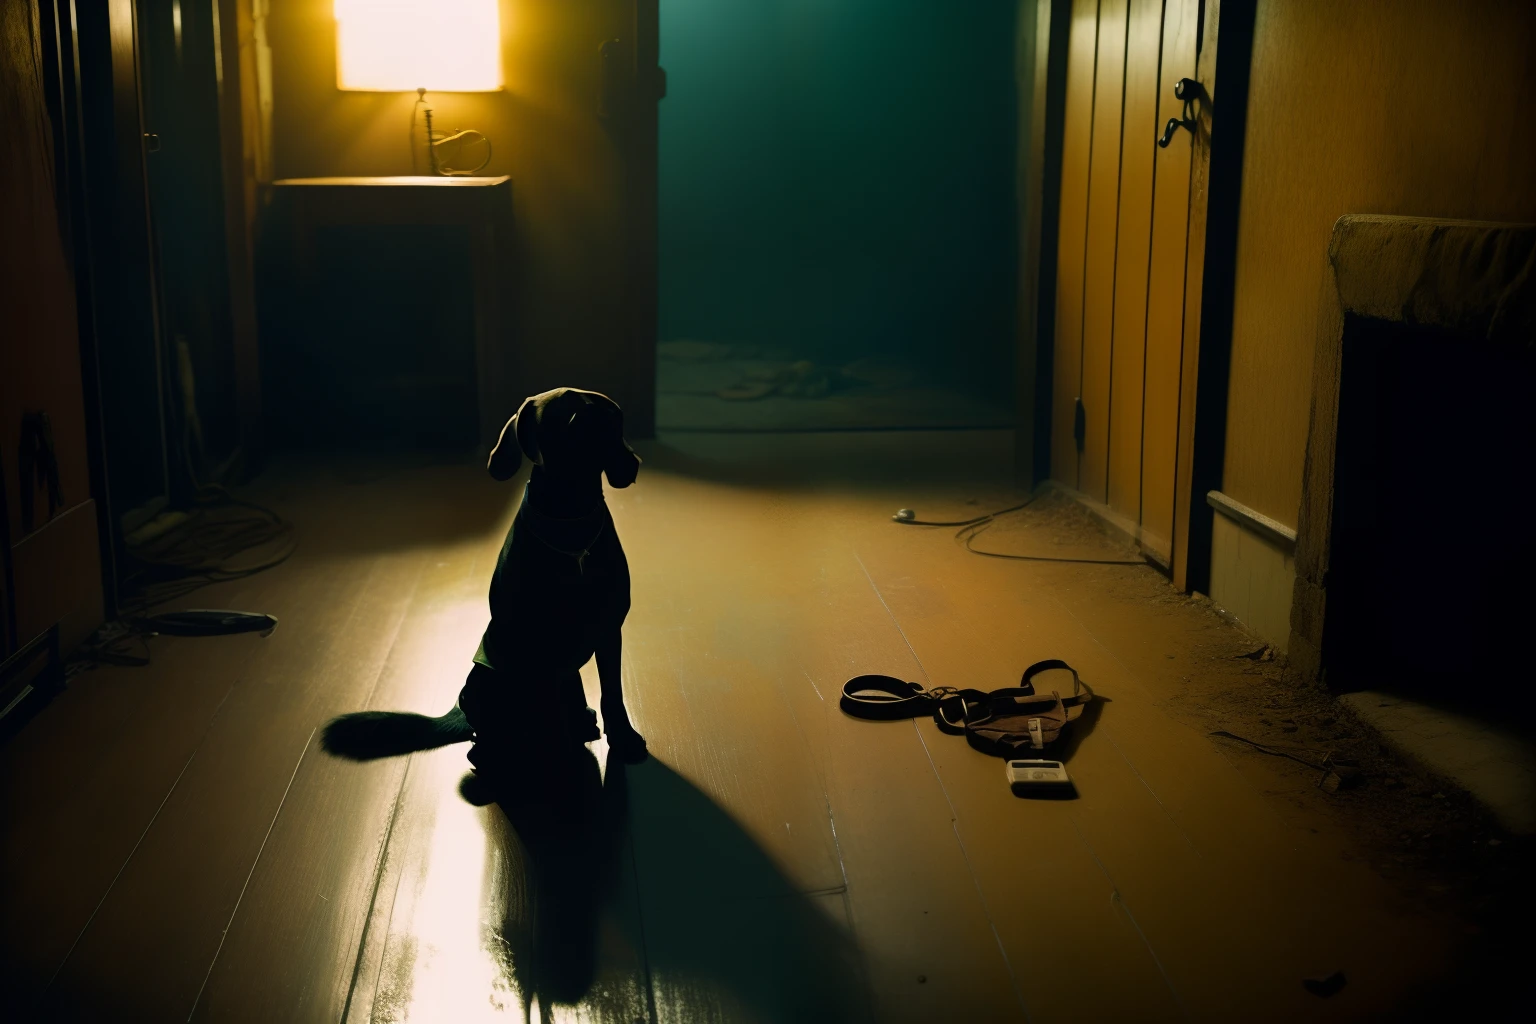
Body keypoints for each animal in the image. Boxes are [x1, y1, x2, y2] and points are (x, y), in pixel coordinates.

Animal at [327, 388, 651, 773]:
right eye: (570, 418)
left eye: (615, 421)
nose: (632, 463)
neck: (569, 523)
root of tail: (458, 705)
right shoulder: (537, 643)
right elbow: (556, 708)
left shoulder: (608, 628)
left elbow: (612, 692)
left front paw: (623, 738)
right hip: (487, 684)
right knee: (485, 740)